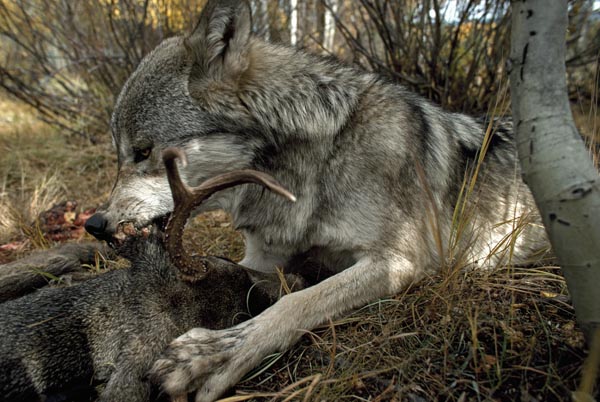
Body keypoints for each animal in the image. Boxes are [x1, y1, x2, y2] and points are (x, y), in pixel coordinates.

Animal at [84, 1, 548, 400]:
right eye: (120, 153)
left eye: (142, 151)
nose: (95, 224)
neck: (315, 160)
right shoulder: (264, 256)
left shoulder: (398, 262)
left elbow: (297, 303)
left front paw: (210, 357)